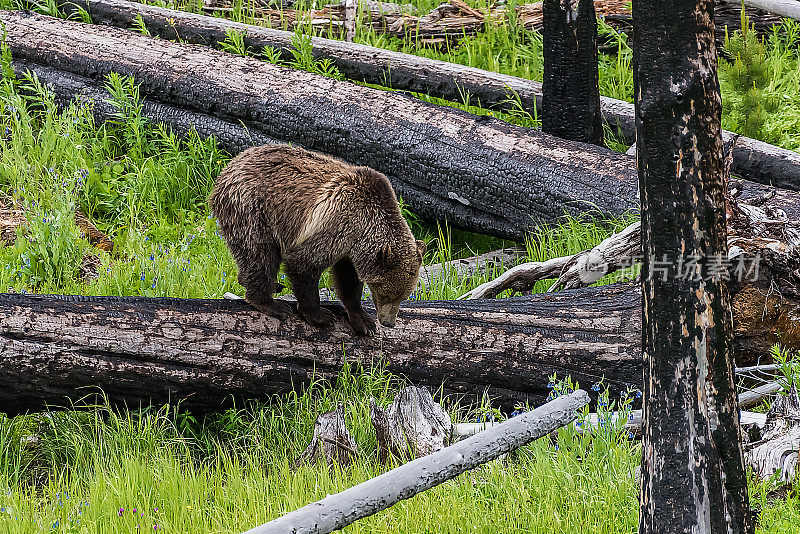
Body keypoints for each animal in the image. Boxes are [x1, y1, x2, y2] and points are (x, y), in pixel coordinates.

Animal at [209, 142, 428, 336]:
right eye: (386, 293)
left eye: (403, 296)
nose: (388, 322)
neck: (366, 226)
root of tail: (231, 164)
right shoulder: (338, 221)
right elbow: (304, 263)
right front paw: (320, 315)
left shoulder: (350, 247)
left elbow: (348, 279)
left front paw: (363, 321)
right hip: (252, 208)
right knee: (260, 253)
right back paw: (271, 303)